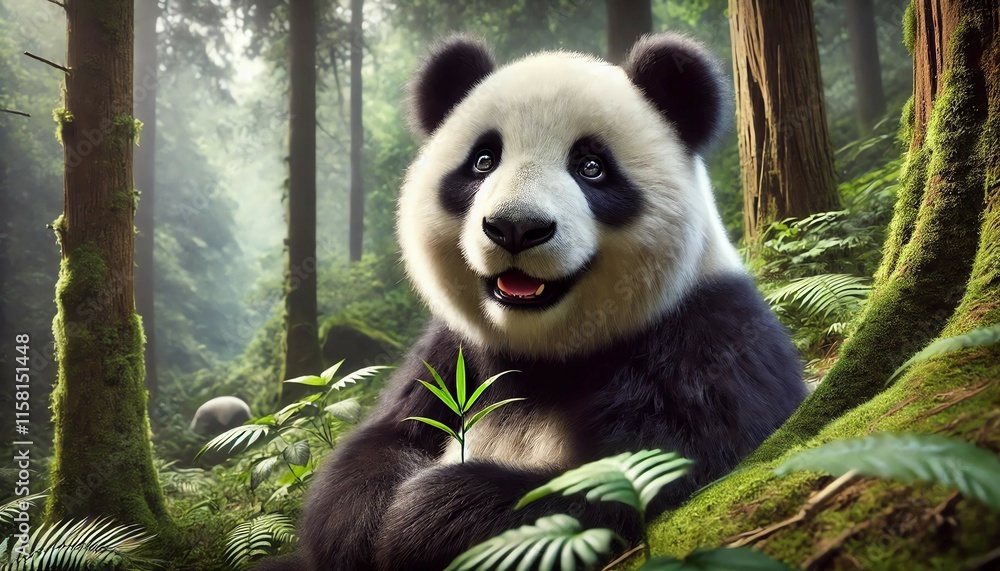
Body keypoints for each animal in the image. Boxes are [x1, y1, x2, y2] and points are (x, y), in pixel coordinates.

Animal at [258, 33, 806, 571]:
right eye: (483, 160)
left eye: (591, 167)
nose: (516, 228)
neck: (540, 352)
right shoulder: (451, 354)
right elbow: (379, 444)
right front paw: (369, 521)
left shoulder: (703, 343)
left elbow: (633, 478)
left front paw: (418, 519)